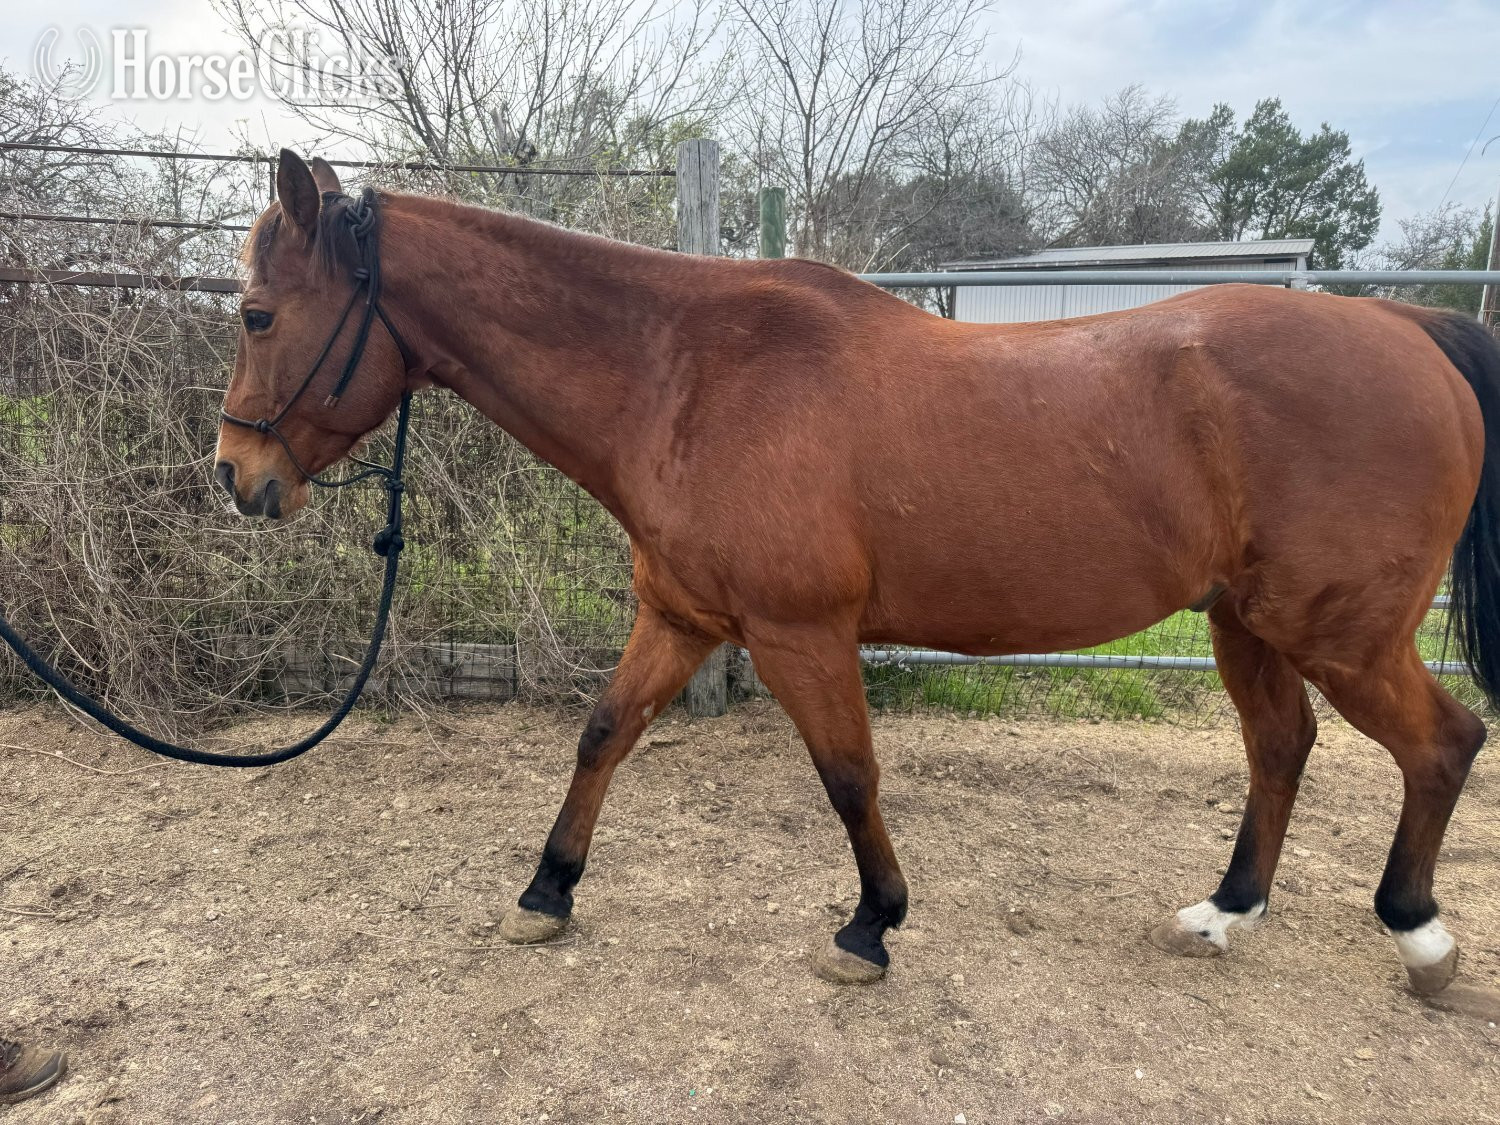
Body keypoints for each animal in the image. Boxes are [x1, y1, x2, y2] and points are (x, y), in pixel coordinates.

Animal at [215, 150, 1499, 1015]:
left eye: (258, 312)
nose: (236, 476)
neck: (686, 377)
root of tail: (1410, 328)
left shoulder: (800, 634)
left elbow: (847, 776)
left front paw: (871, 926)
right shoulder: (680, 619)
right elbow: (602, 734)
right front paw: (547, 893)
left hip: (1341, 634)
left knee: (1444, 743)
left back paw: (1421, 942)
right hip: (1247, 625)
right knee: (1283, 748)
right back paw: (1225, 914)